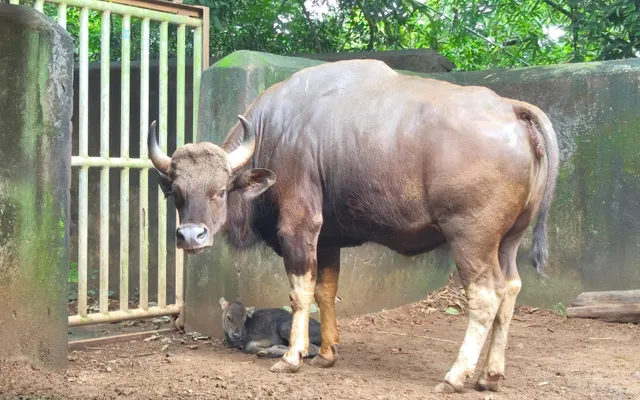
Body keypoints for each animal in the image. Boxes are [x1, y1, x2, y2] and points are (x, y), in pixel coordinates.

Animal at [148, 59, 559, 394]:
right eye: (178, 193)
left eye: (220, 190)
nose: (190, 236)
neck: (274, 133)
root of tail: (512, 108)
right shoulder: (328, 240)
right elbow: (326, 291)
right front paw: (326, 353)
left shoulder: (299, 230)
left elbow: (300, 293)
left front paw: (293, 356)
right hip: (508, 240)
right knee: (511, 288)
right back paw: (490, 375)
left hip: (471, 238)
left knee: (486, 294)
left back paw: (456, 376)